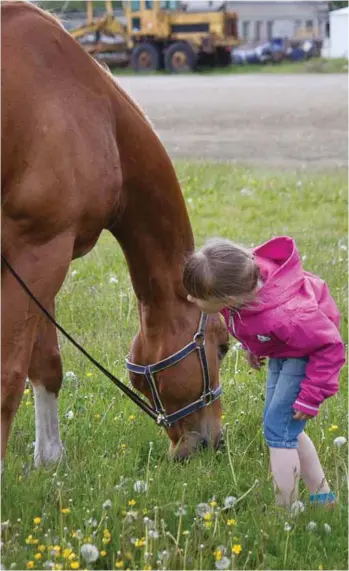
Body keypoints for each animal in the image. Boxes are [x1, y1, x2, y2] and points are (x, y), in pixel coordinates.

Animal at [0, 2, 228, 472]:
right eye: (222, 346)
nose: (214, 441)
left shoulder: (40, 256)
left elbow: (46, 363)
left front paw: (49, 459)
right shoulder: (38, 251)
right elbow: (8, 377)